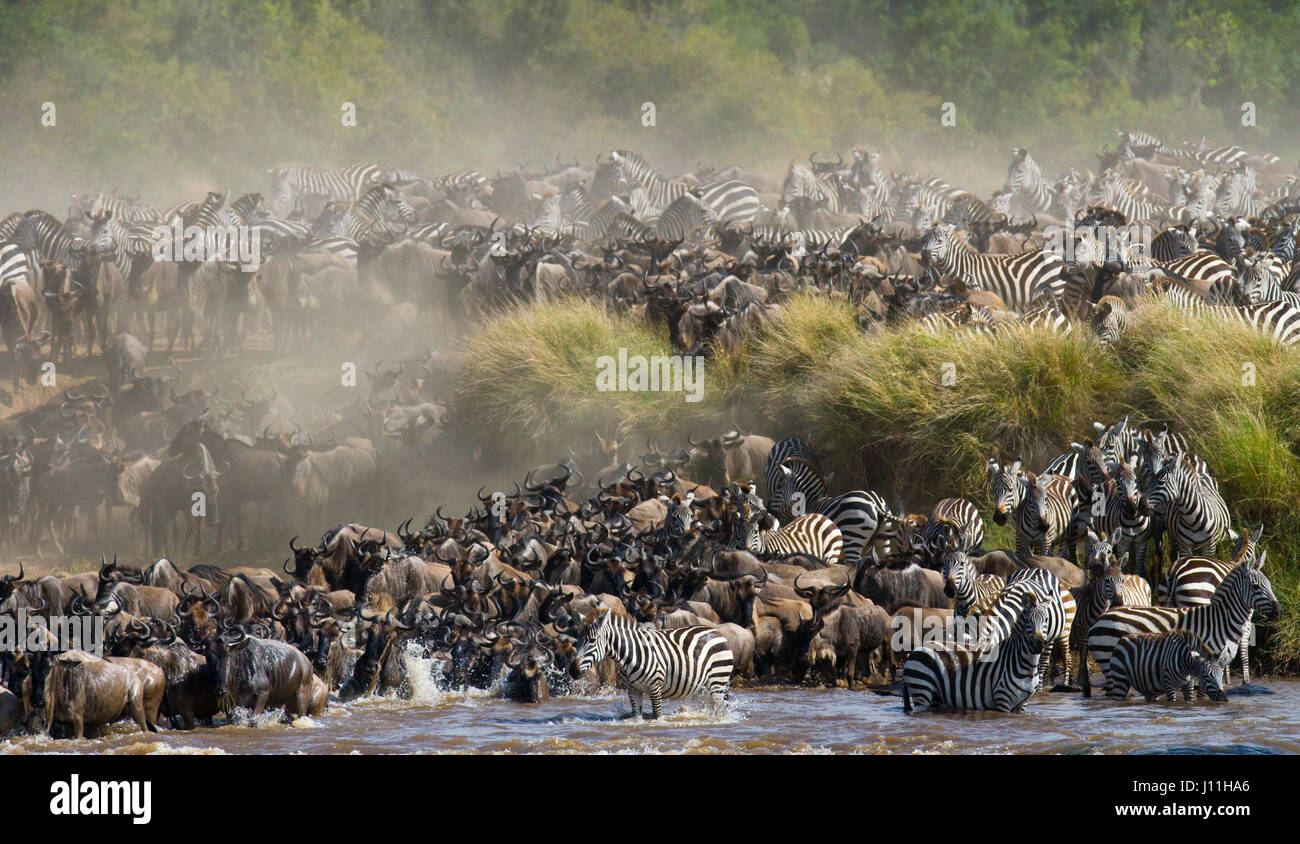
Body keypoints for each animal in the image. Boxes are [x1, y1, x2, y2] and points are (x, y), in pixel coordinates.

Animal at [572, 606, 733, 717]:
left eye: (592, 640)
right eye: (577, 641)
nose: (572, 670)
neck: (631, 654)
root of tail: (716, 632)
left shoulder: (655, 687)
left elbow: (657, 716)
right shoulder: (633, 690)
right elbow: (636, 715)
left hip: (717, 681)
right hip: (701, 689)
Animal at [904, 593, 1055, 712]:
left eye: (1046, 620)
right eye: (1028, 621)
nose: (1038, 643)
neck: (1027, 663)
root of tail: (914, 652)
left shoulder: (1023, 704)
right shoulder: (1002, 699)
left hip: (935, 696)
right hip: (922, 690)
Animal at [915, 222, 1066, 310]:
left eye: (940, 240)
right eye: (924, 240)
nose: (925, 255)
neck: (962, 266)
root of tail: (1053, 253)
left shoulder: (976, 291)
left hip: (1057, 289)